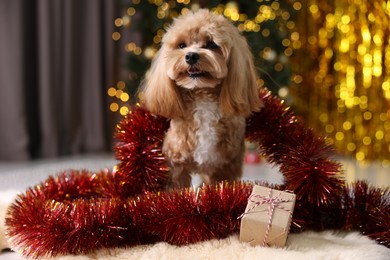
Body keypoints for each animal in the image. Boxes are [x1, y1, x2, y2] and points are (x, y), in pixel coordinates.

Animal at [140, 9, 262, 188]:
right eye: (181, 45)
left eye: (212, 44)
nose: (191, 56)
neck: (202, 96)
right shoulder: (175, 164)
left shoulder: (224, 167)